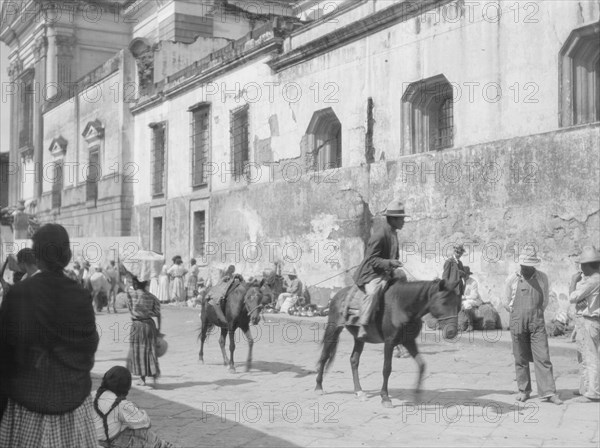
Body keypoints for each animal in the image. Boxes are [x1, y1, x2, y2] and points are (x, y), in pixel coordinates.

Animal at [314, 278, 460, 408]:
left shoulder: (408, 341)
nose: (452, 332)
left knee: (354, 360)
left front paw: (417, 395)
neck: (401, 306)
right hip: (333, 329)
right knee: (324, 356)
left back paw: (359, 392)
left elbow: (422, 365)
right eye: (444, 302)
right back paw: (318, 387)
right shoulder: (389, 342)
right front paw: (385, 397)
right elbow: (387, 369)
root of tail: (337, 295)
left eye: (457, 304)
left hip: (359, 338)